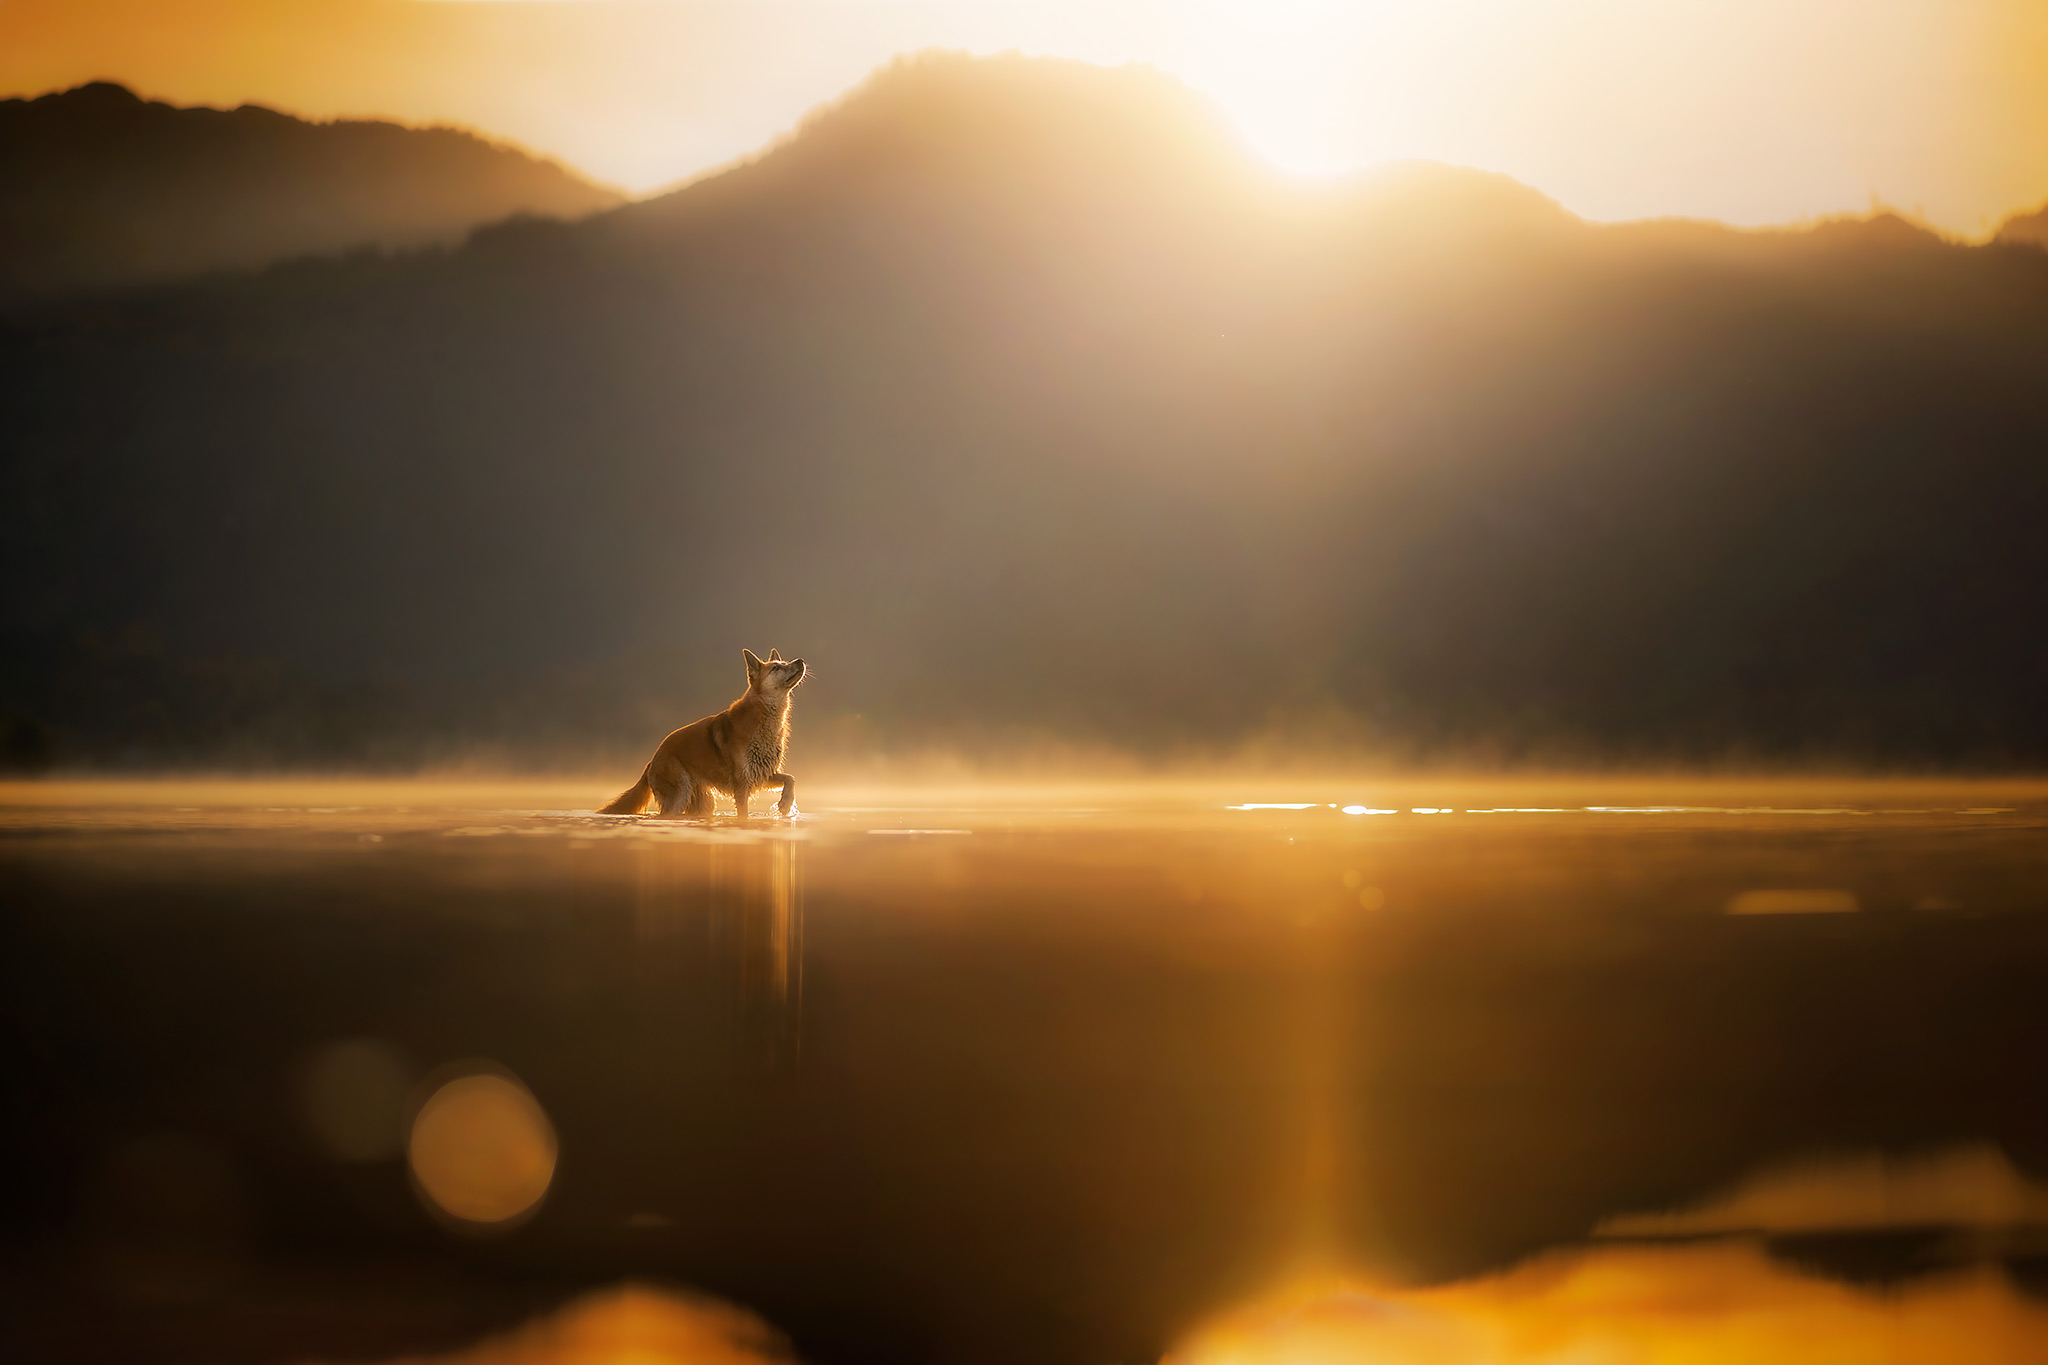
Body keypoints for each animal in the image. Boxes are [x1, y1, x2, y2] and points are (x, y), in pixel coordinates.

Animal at [598, 650, 802, 822]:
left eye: (785, 662)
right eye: (776, 668)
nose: (800, 661)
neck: (765, 720)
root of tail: (652, 760)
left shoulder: (762, 774)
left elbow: (791, 778)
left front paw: (786, 803)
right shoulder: (742, 785)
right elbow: (743, 815)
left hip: (705, 803)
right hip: (679, 797)